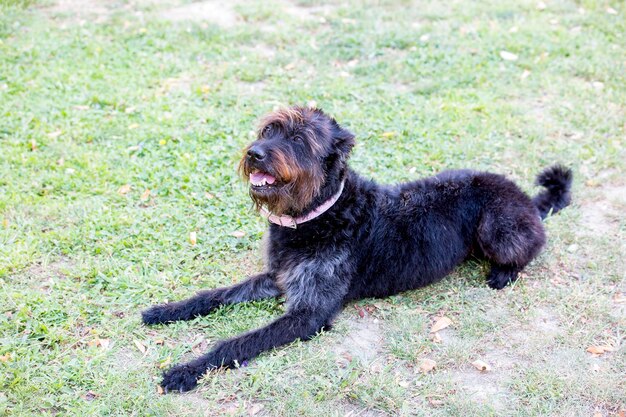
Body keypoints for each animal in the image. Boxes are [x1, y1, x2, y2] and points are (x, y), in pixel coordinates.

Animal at [143, 105, 572, 392]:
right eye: (269, 129)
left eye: (298, 139)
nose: (255, 153)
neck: (317, 215)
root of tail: (527, 199)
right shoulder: (276, 277)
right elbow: (216, 295)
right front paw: (168, 310)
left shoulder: (309, 314)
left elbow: (238, 341)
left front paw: (186, 370)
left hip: (498, 227)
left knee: (531, 246)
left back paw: (503, 272)